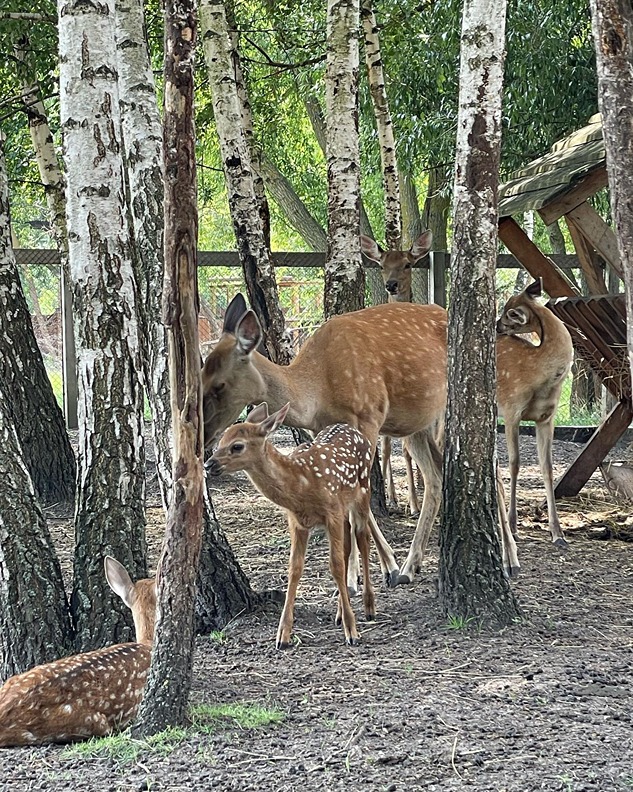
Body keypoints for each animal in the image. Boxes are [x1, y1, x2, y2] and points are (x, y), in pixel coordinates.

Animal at [207, 406, 396, 648]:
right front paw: (283, 635)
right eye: (221, 440)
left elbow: (335, 565)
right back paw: (339, 613)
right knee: (347, 547)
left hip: (362, 493)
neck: (301, 484)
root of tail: (354, 431)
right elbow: (295, 568)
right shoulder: (298, 522)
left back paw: (369, 606)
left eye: (237, 445)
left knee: (362, 540)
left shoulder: (332, 512)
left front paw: (352, 632)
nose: (208, 464)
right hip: (344, 509)